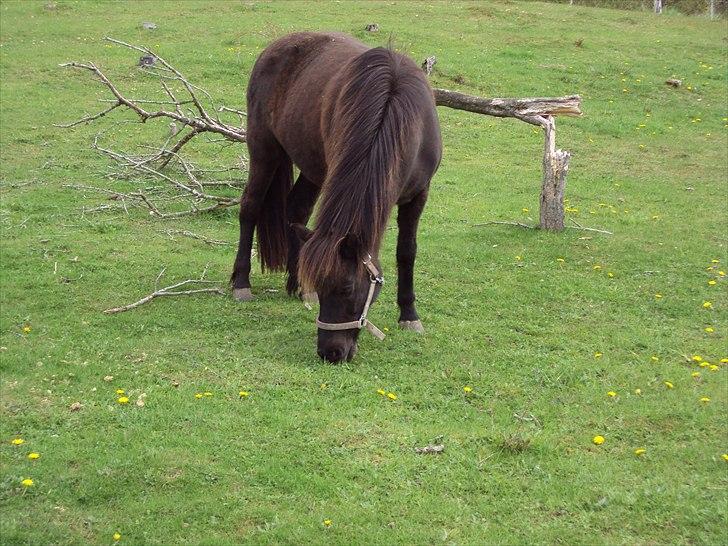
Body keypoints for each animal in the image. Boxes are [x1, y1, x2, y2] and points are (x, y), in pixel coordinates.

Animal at [230, 31, 440, 360]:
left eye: (347, 290)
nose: (331, 352)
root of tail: (277, 45)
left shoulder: (418, 194)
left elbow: (407, 251)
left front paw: (409, 315)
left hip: (311, 167)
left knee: (296, 211)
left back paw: (298, 287)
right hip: (264, 148)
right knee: (250, 207)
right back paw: (241, 283)